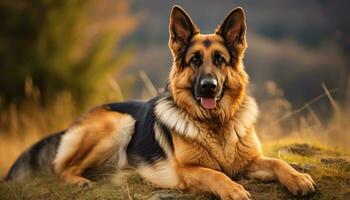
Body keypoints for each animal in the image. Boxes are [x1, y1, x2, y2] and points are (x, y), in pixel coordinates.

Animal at [6, 5, 316, 199]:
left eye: (219, 59)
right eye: (194, 61)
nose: (208, 87)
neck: (215, 125)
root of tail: (73, 124)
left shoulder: (251, 161)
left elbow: (277, 162)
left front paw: (299, 179)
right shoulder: (187, 171)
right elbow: (215, 175)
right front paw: (233, 189)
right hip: (119, 122)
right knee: (62, 169)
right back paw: (80, 182)